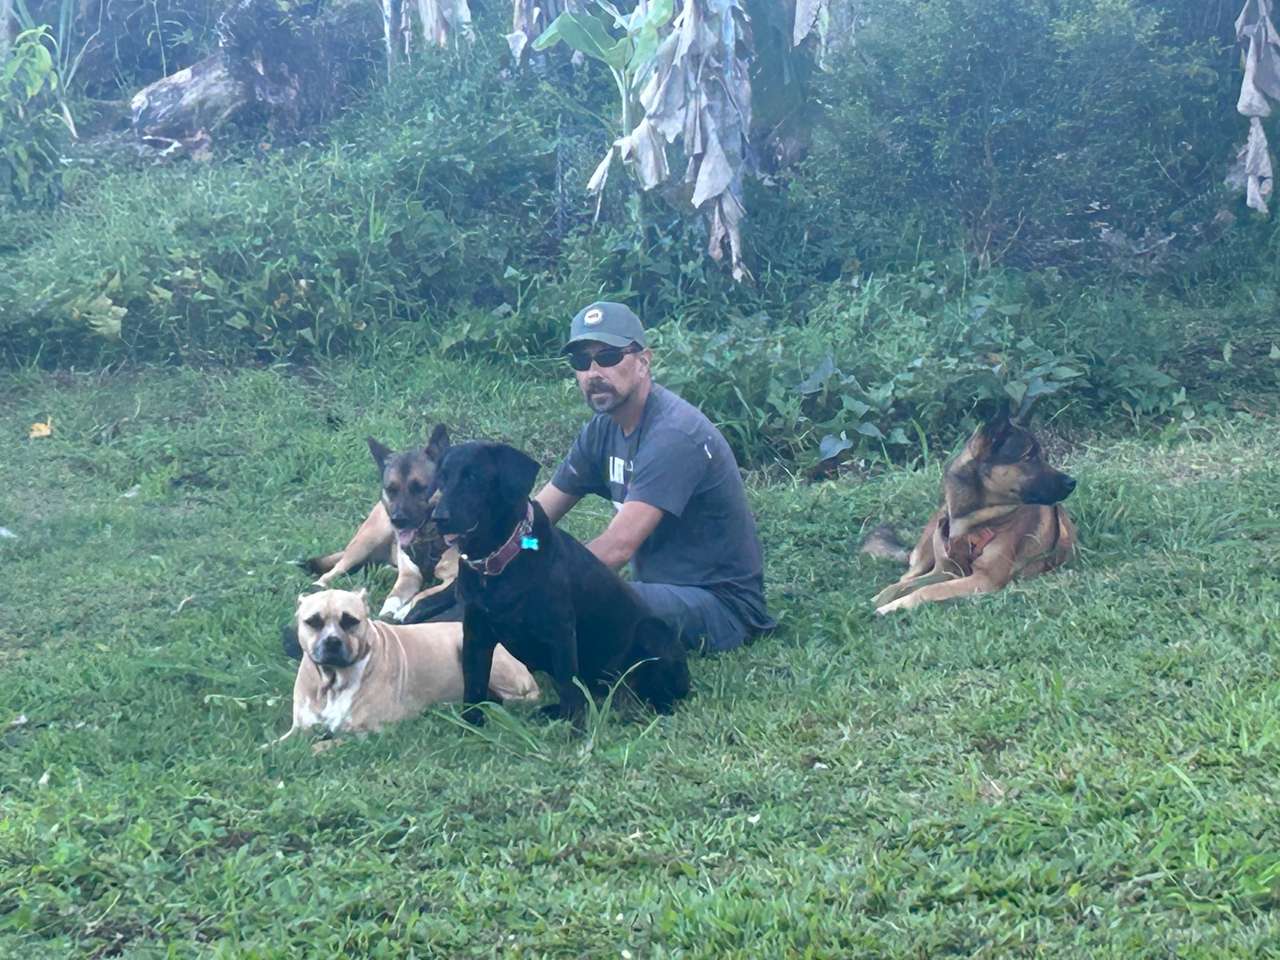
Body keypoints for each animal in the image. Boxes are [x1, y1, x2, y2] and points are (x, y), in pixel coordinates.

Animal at [270, 583, 540, 747]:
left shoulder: (370, 733)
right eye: (313, 622)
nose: (332, 641)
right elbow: (275, 745)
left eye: (350, 621)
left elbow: (324, 744)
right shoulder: (299, 728)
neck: (333, 681)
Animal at [302, 427, 458, 624]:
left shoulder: (452, 578)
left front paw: (404, 611)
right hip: (368, 540)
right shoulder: (409, 576)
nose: (397, 520)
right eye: (391, 489)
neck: (429, 539)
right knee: (337, 568)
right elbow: (393, 596)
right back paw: (318, 587)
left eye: (420, 488)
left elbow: (424, 594)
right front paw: (388, 612)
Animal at [430, 440, 691, 727]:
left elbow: (569, 686)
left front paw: (576, 730)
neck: (497, 562)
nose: (438, 518)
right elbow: (474, 684)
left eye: (473, 477)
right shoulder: (476, 633)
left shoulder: (560, 633)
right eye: (442, 477)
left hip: (651, 631)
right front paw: (471, 724)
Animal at [865, 414, 1075, 616]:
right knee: (906, 577)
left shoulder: (982, 579)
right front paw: (880, 601)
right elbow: (904, 586)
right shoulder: (946, 569)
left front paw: (893, 606)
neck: (970, 519)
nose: (1072, 482)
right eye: (1029, 457)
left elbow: (928, 589)